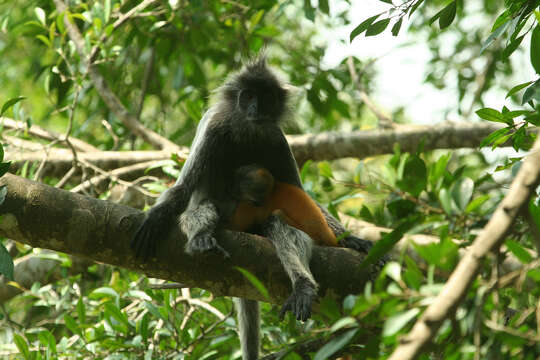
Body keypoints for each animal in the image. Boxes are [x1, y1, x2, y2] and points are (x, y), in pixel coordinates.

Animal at [133, 56, 374, 360]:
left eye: (266, 97)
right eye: (248, 96)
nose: (255, 109)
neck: (248, 131)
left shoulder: (276, 138)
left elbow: (301, 194)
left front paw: (352, 239)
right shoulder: (214, 130)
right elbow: (184, 189)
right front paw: (154, 219)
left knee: (277, 223)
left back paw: (303, 286)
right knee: (205, 207)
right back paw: (201, 238)